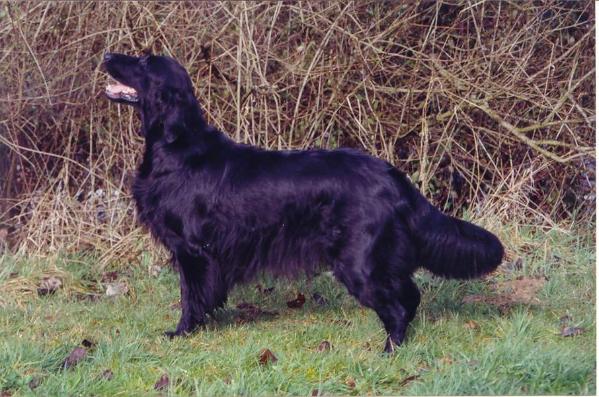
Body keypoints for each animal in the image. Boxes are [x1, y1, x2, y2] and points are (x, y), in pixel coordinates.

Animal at [104, 53, 506, 352]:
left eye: (144, 61)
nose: (108, 55)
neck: (177, 145)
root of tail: (394, 177)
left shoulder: (193, 250)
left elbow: (192, 297)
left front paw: (182, 332)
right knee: (410, 295)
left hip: (358, 262)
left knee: (397, 305)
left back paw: (389, 350)